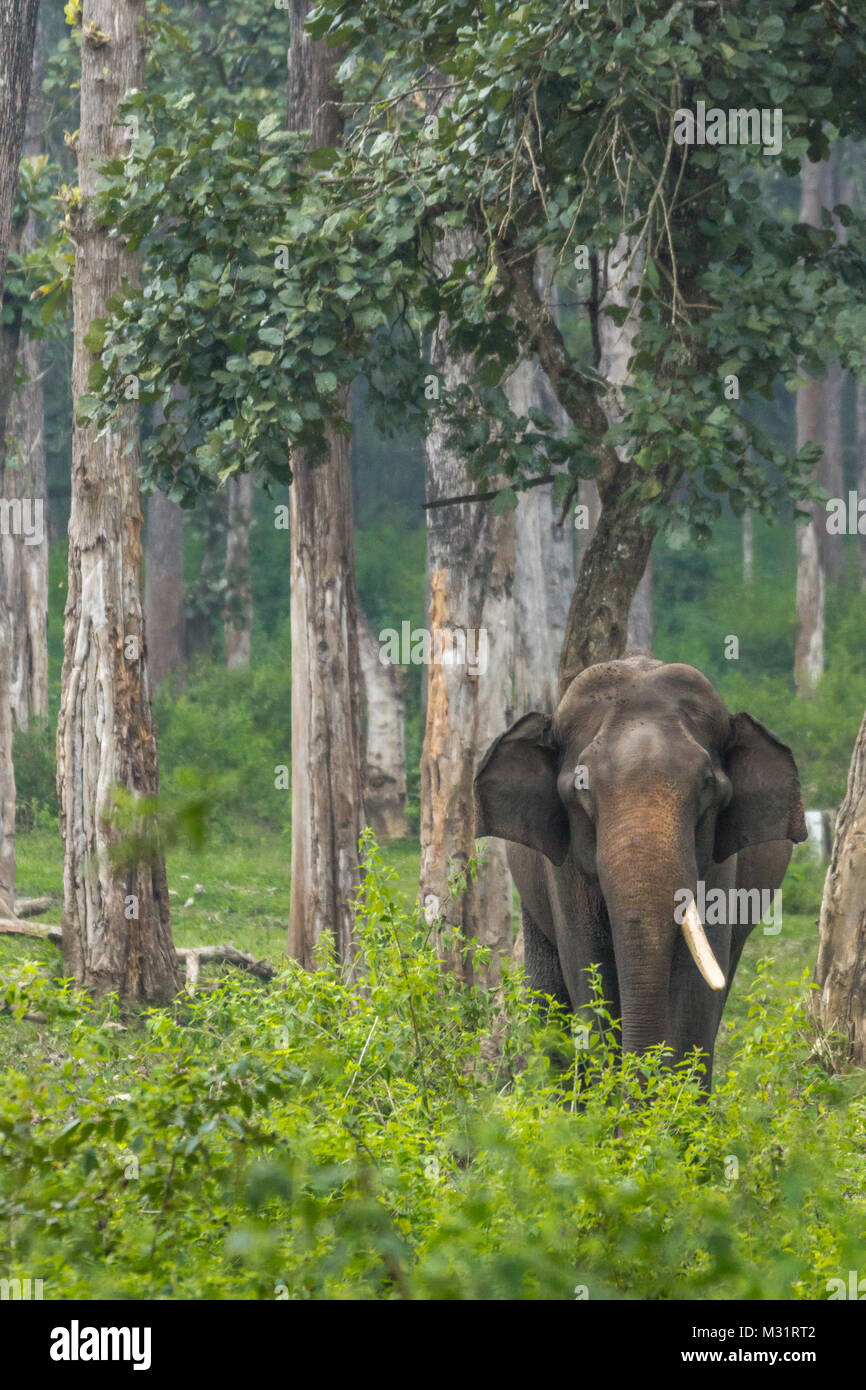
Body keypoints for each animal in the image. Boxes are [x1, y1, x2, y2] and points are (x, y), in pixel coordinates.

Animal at [475, 656, 806, 1089]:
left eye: (707, 784)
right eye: (581, 786)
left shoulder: (720, 863)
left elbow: (695, 990)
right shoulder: (564, 868)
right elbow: (591, 971)